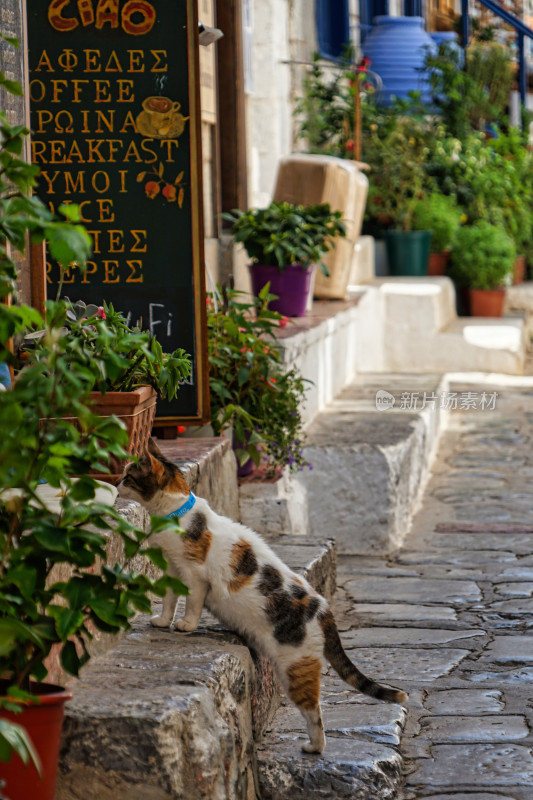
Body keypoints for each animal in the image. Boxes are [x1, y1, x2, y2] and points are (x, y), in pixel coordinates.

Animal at [117, 440, 408, 752]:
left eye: (129, 476)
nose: (116, 483)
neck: (173, 516)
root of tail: (323, 608)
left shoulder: (195, 576)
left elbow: (192, 603)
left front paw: (186, 625)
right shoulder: (171, 569)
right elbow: (170, 600)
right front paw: (162, 620)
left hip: (296, 667)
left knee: (314, 711)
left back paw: (314, 748)